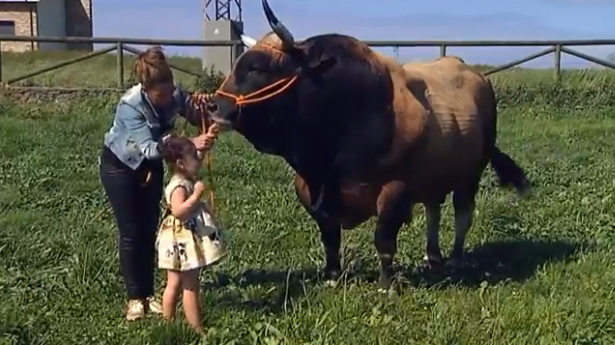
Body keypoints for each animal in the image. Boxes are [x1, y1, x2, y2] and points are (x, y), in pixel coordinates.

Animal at [209, 0, 532, 290]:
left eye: (257, 68)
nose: (214, 105)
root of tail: (473, 73)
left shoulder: (395, 189)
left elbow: (384, 240)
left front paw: (386, 284)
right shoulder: (309, 192)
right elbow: (330, 239)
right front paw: (331, 277)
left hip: (471, 173)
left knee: (462, 213)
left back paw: (453, 259)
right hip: (432, 176)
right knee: (433, 211)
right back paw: (432, 256)